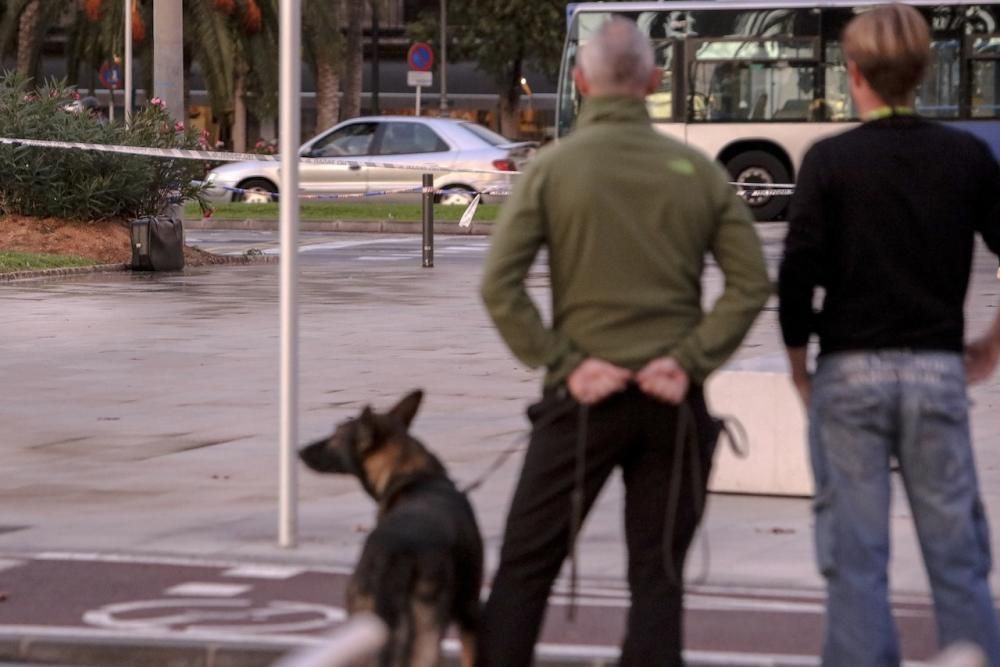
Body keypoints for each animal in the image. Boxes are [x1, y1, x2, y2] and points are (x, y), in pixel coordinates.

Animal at [298, 392, 482, 667]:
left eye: (336, 435)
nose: (299, 451)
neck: (414, 475)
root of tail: (394, 555)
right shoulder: (470, 610)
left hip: (362, 630)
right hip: (426, 632)